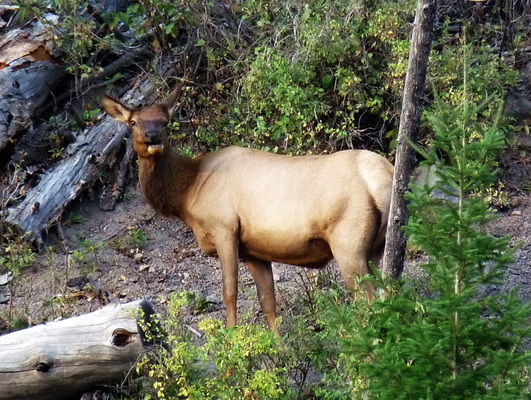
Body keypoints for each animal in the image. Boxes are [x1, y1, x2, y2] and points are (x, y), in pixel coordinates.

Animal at [102, 83, 394, 336]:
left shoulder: (224, 228)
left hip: (348, 243)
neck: (187, 195)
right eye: (134, 122)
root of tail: (384, 176)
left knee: (369, 302)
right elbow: (268, 302)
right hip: (378, 246)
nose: (152, 137)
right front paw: (280, 350)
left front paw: (231, 343)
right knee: (389, 291)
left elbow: (230, 292)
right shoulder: (254, 251)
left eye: (165, 121)